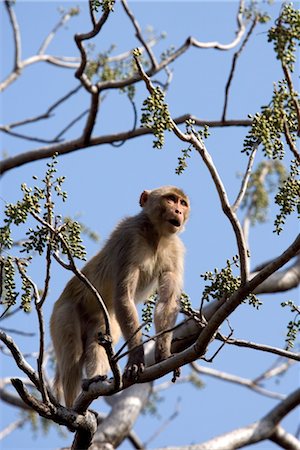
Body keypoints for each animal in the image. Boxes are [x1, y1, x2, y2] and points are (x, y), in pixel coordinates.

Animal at [49, 186, 190, 408]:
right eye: (170, 199)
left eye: (182, 203)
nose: (178, 211)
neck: (156, 235)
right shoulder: (129, 236)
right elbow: (124, 296)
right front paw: (136, 359)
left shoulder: (176, 250)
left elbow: (167, 303)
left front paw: (164, 354)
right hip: (63, 312)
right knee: (73, 355)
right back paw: (72, 409)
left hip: (105, 319)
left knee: (96, 343)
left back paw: (94, 379)